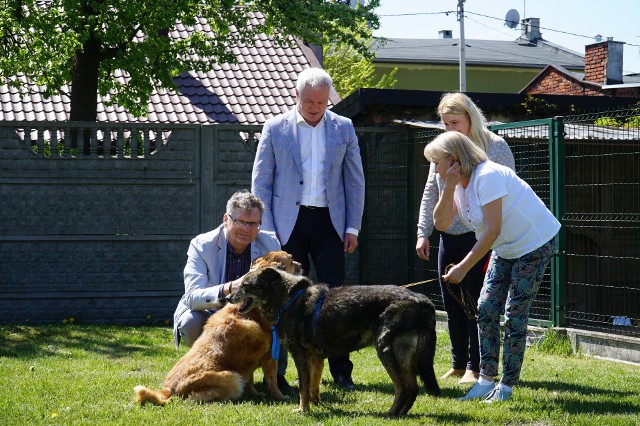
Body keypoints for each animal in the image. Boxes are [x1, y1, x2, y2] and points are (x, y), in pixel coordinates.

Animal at [133, 250, 302, 406]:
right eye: (291, 260)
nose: (301, 265)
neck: (250, 311)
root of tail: (169, 391)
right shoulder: (269, 357)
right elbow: (272, 382)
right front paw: (280, 397)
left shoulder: (250, 363)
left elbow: (251, 380)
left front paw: (255, 393)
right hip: (232, 378)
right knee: (191, 399)